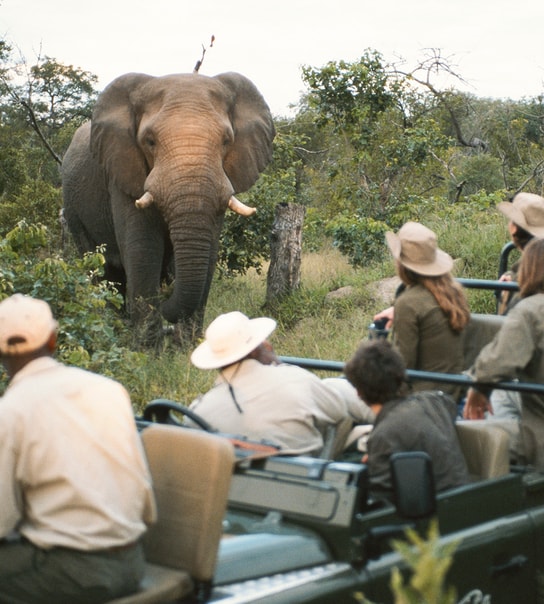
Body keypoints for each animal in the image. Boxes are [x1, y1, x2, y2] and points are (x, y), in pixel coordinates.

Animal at [62, 71, 276, 344]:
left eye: (226, 141)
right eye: (149, 141)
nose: (167, 294)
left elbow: (209, 251)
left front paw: (188, 347)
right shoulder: (122, 174)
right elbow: (143, 250)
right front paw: (148, 350)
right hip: (73, 212)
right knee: (104, 271)